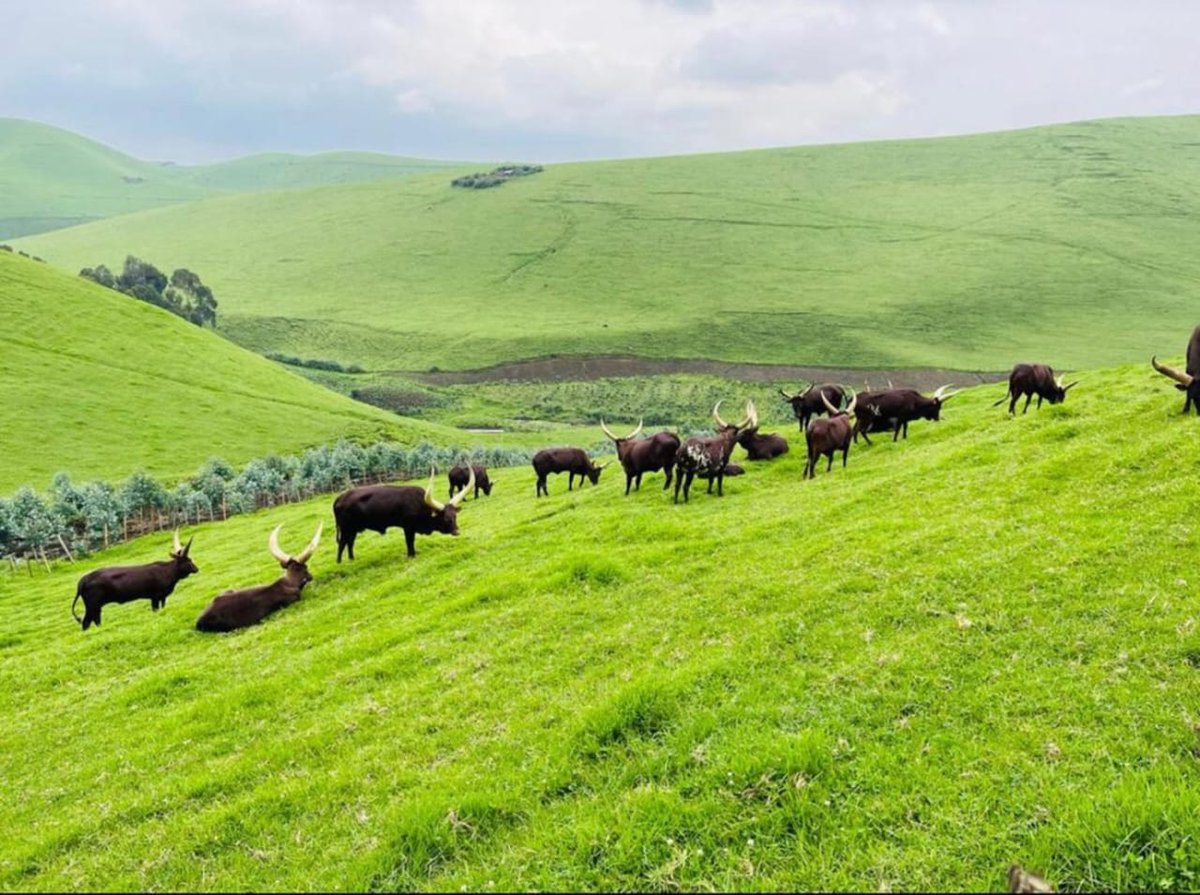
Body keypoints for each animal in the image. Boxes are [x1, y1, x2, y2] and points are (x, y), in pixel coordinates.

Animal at [336, 460, 475, 556]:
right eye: (446, 518)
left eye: (455, 516)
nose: (457, 531)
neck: (422, 506)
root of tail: (339, 499)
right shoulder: (408, 527)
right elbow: (410, 542)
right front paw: (411, 555)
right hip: (346, 529)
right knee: (342, 544)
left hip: (352, 530)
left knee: (349, 543)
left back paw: (351, 559)